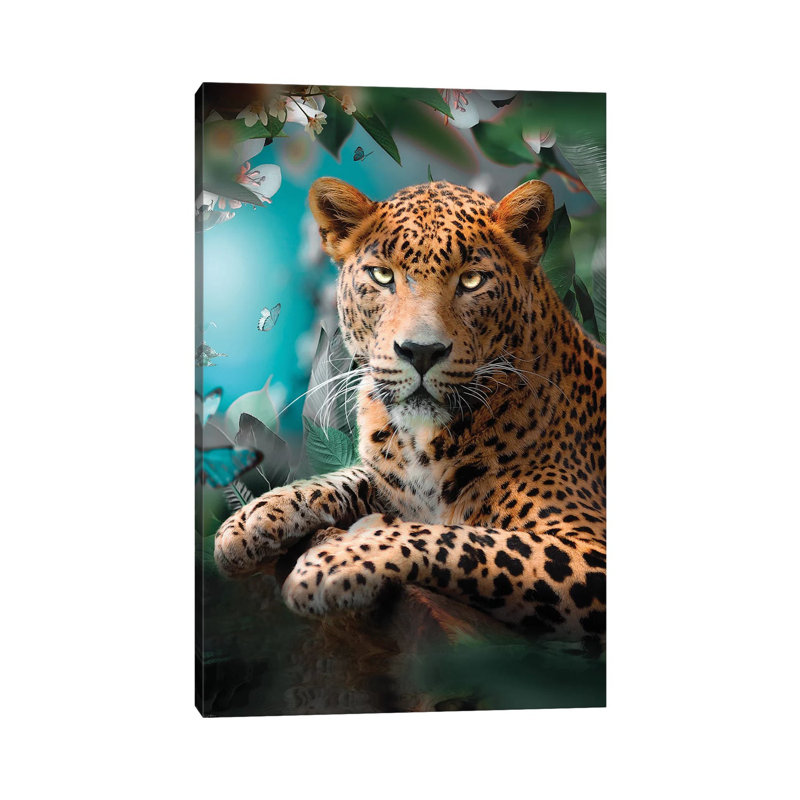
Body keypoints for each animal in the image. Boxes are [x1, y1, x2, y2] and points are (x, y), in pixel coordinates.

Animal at [214, 177, 606, 639]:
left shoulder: (587, 548)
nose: (421, 351)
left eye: (471, 280)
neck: (422, 442)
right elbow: (346, 478)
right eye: (383, 276)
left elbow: (459, 538)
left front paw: (335, 563)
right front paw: (252, 518)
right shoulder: (389, 480)